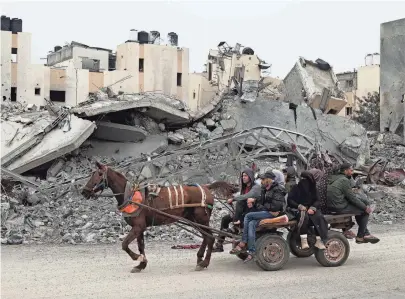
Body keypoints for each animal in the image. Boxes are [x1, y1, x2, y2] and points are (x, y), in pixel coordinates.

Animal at [80, 163, 235, 274]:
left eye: (99, 174)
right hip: (193, 219)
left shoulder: (138, 227)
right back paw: (199, 258)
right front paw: (141, 264)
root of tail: (206, 186)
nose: (84, 192)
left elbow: (124, 244)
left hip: (201, 218)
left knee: (210, 237)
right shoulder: (139, 228)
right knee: (205, 237)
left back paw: (204, 262)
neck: (131, 196)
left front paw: (137, 258)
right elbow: (140, 246)